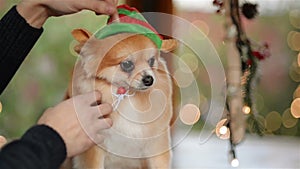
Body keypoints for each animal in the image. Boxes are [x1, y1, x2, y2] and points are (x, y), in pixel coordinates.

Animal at [61, 4, 177, 168]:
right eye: (127, 64)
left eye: (151, 61)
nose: (149, 79)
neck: (127, 96)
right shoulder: (93, 149)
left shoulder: (156, 146)